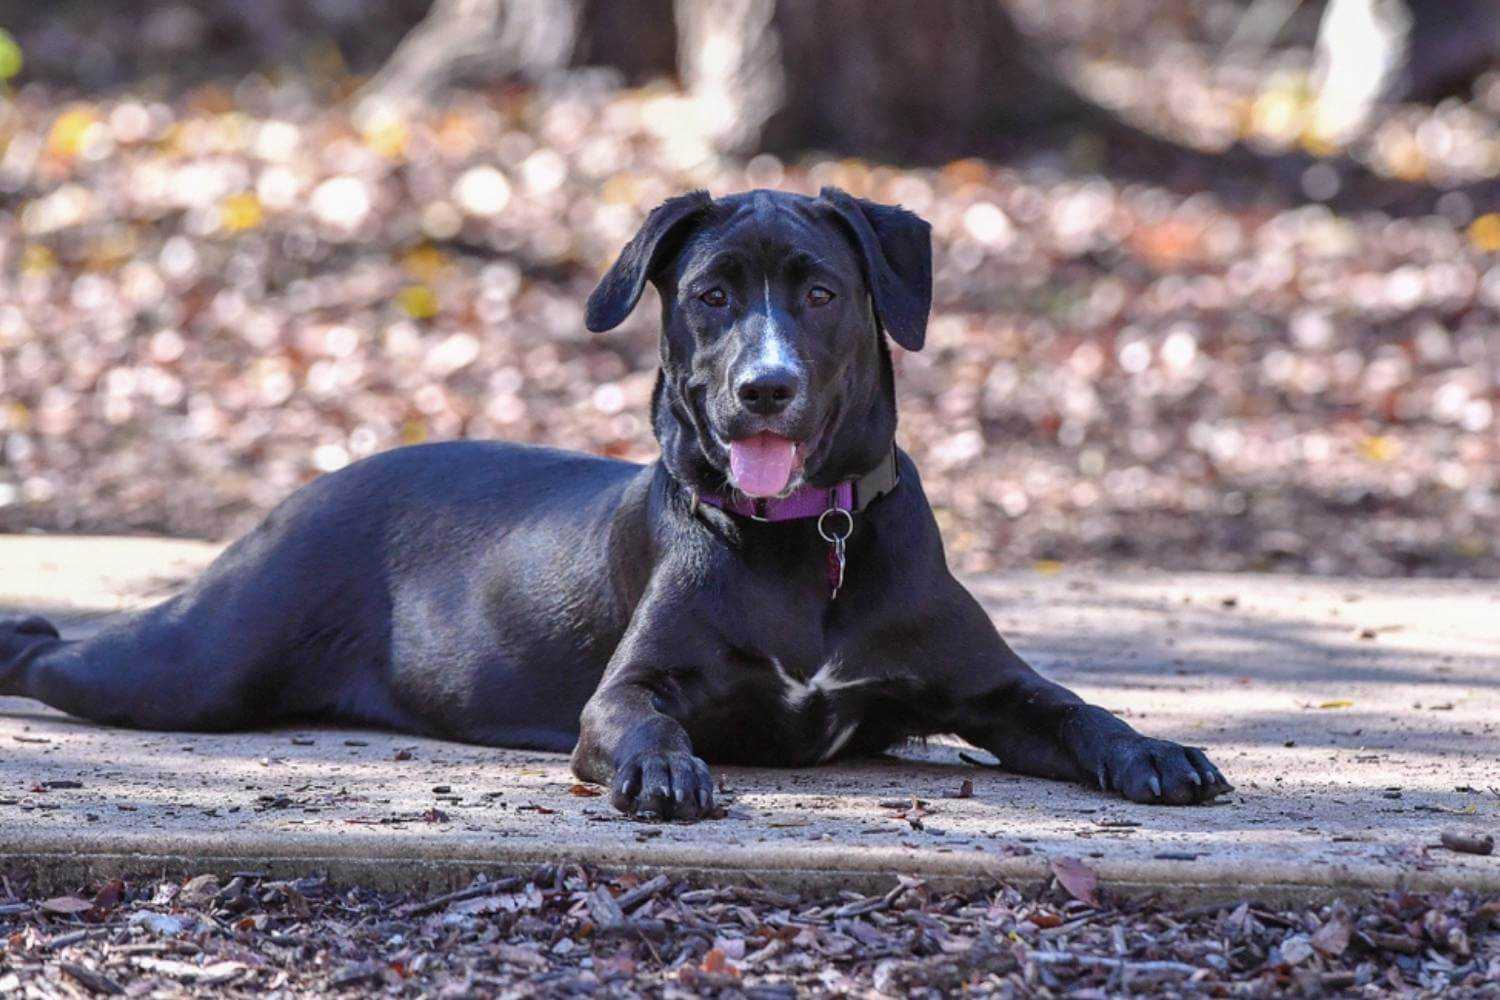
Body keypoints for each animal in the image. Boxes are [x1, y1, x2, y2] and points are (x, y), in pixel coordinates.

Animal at [2, 189, 1230, 821]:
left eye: (821, 292)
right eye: (712, 294)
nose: (764, 387)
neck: (808, 541)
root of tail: (313, 486)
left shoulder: (991, 687)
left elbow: (1077, 710)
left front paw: (1158, 753)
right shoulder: (632, 684)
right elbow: (640, 716)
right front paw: (663, 769)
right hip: (193, 663)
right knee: (62, 655)